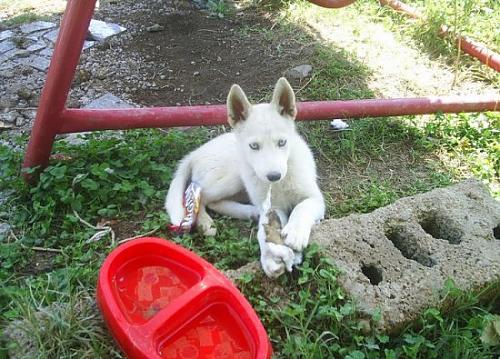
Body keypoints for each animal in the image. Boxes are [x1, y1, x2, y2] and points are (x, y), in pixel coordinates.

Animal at [166, 78, 326, 278]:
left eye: (282, 142)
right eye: (254, 146)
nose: (273, 176)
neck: (279, 183)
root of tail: (194, 153)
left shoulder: (314, 199)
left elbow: (301, 207)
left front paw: (294, 233)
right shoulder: (274, 208)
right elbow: (265, 233)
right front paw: (270, 257)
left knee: (214, 201)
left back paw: (249, 212)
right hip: (232, 177)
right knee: (201, 196)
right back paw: (205, 223)